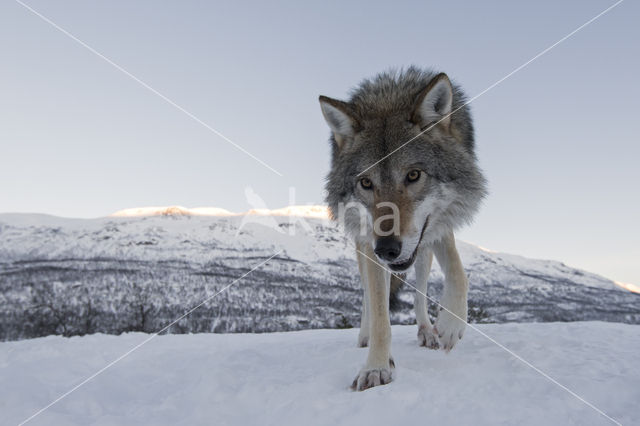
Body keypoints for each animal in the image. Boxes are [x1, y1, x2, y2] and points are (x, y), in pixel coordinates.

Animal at [318, 65, 488, 390]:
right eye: (366, 182)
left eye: (413, 175)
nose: (386, 249)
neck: (390, 98)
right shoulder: (368, 241)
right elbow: (380, 314)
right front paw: (376, 366)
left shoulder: (439, 224)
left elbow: (458, 273)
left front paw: (450, 323)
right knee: (369, 297)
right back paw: (365, 335)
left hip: (422, 253)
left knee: (420, 291)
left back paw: (426, 330)